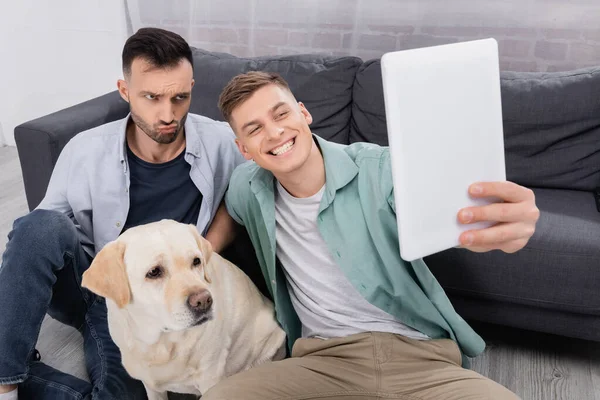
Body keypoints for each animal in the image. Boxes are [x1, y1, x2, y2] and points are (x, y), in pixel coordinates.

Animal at [81, 220, 286, 398]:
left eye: (196, 261)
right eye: (154, 272)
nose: (204, 301)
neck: (160, 344)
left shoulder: (210, 377)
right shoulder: (151, 386)